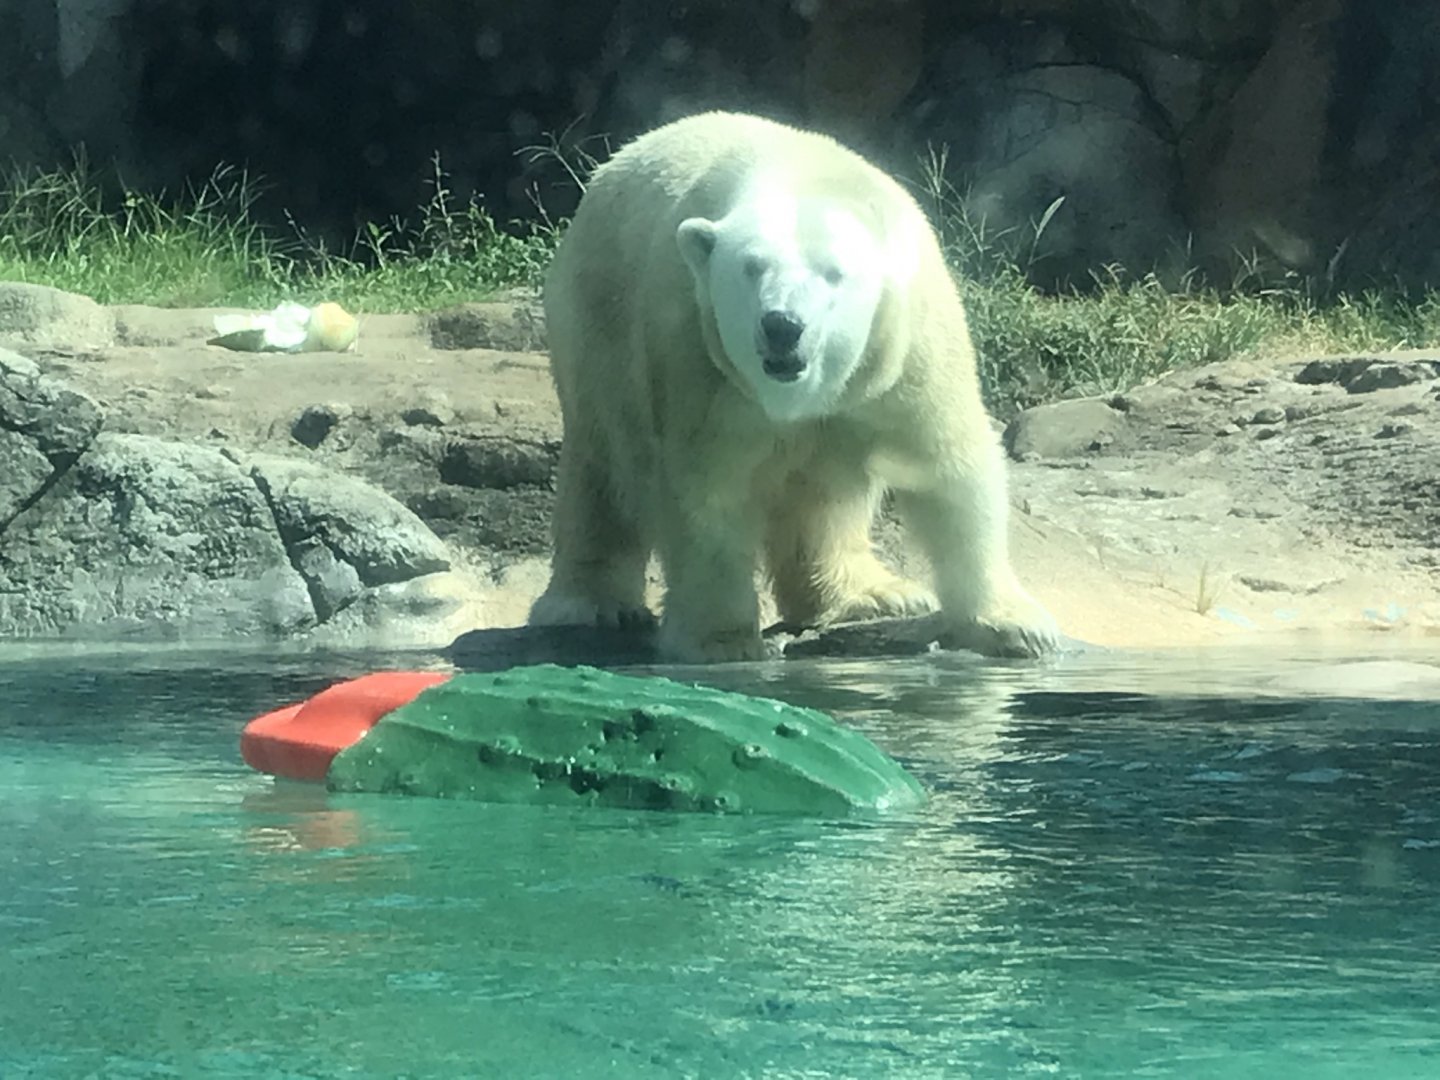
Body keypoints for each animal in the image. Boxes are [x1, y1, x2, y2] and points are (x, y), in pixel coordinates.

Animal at [527, 110, 1060, 663]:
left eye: (834, 274)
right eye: (751, 266)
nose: (782, 325)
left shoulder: (905, 347)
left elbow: (947, 464)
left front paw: (1017, 626)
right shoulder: (698, 354)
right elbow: (706, 489)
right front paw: (720, 640)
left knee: (826, 497)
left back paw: (872, 594)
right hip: (596, 323)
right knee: (605, 467)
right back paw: (588, 604)